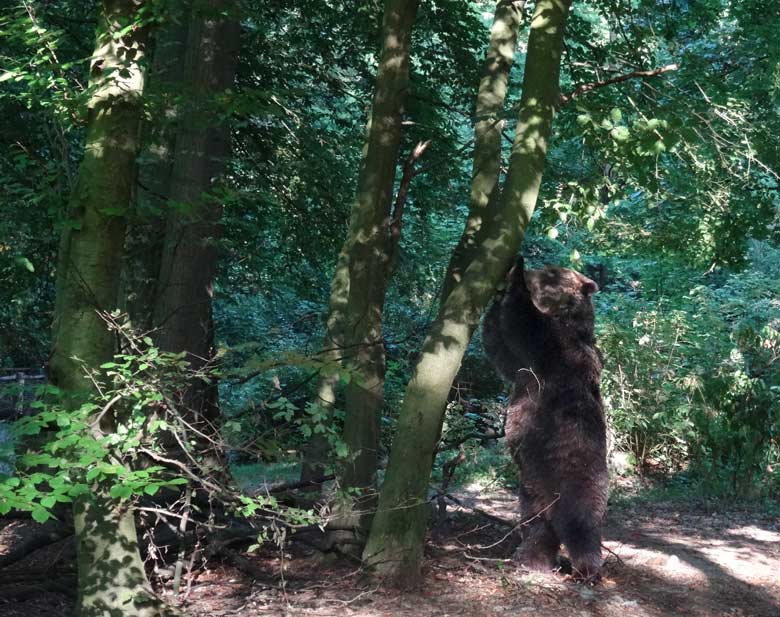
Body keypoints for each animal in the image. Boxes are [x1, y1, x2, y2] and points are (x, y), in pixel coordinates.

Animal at [482, 258, 608, 580]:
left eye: (552, 272)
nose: (531, 272)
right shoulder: (523, 363)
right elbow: (499, 349)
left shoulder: (554, 347)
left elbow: (522, 320)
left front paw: (515, 274)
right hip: (530, 489)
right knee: (536, 527)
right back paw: (530, 559)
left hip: (577, 478)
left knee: (582, 526)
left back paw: (586, 568)